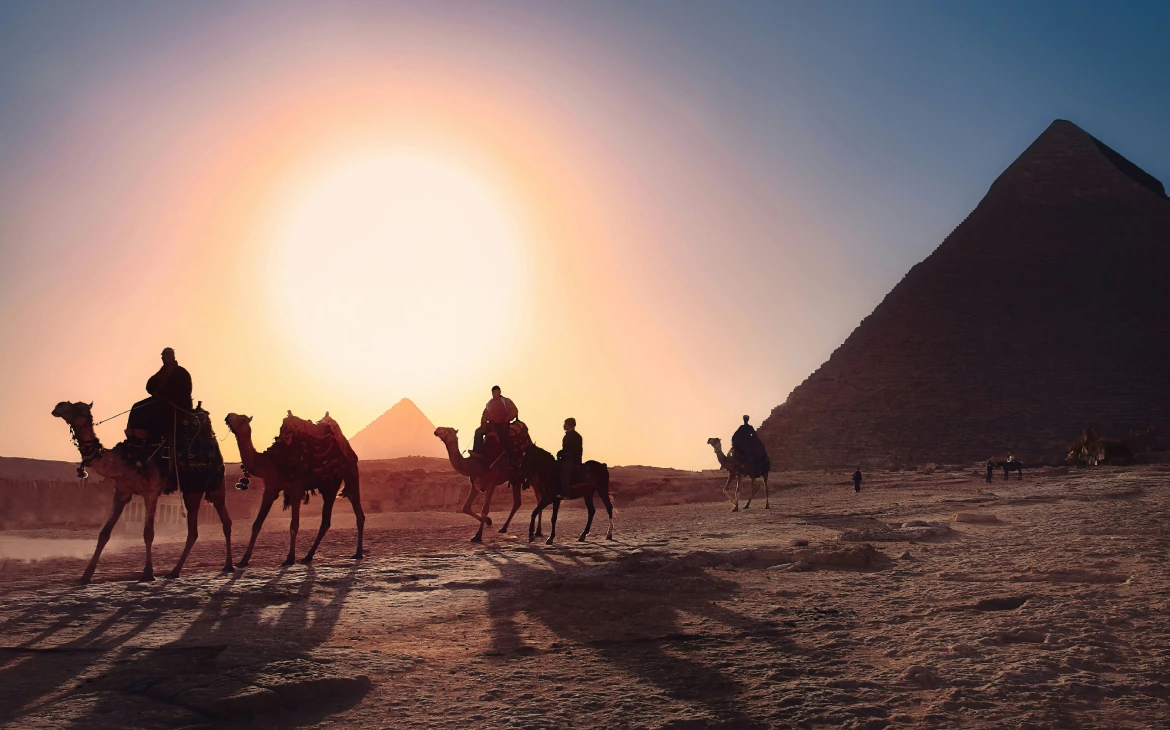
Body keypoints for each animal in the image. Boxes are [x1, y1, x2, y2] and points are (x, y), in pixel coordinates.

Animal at [50, 402, 232, 584]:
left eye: (78, 408)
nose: (58, 407)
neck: (125, 461)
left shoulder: (151, 492)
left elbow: (148, 533)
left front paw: (148, 574)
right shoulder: (122, 492)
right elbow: (104, 533)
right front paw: (86, 575)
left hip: (215, 483)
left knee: (226, 521)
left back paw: (228, 566)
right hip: (191, 490)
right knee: (193, 531)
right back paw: (174, 571)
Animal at [221, 414, 362, 568]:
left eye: (241, 418)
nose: (228, 416)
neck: (270, 461)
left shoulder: (295, 489)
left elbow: (294, 525)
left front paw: (289, 558)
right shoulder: (271, 488)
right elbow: (257, 524)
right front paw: (243, 560)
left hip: (349, 475)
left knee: (357, 513)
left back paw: (358, 553)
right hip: (329, 486)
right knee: (326, 522)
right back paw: (308, 556)